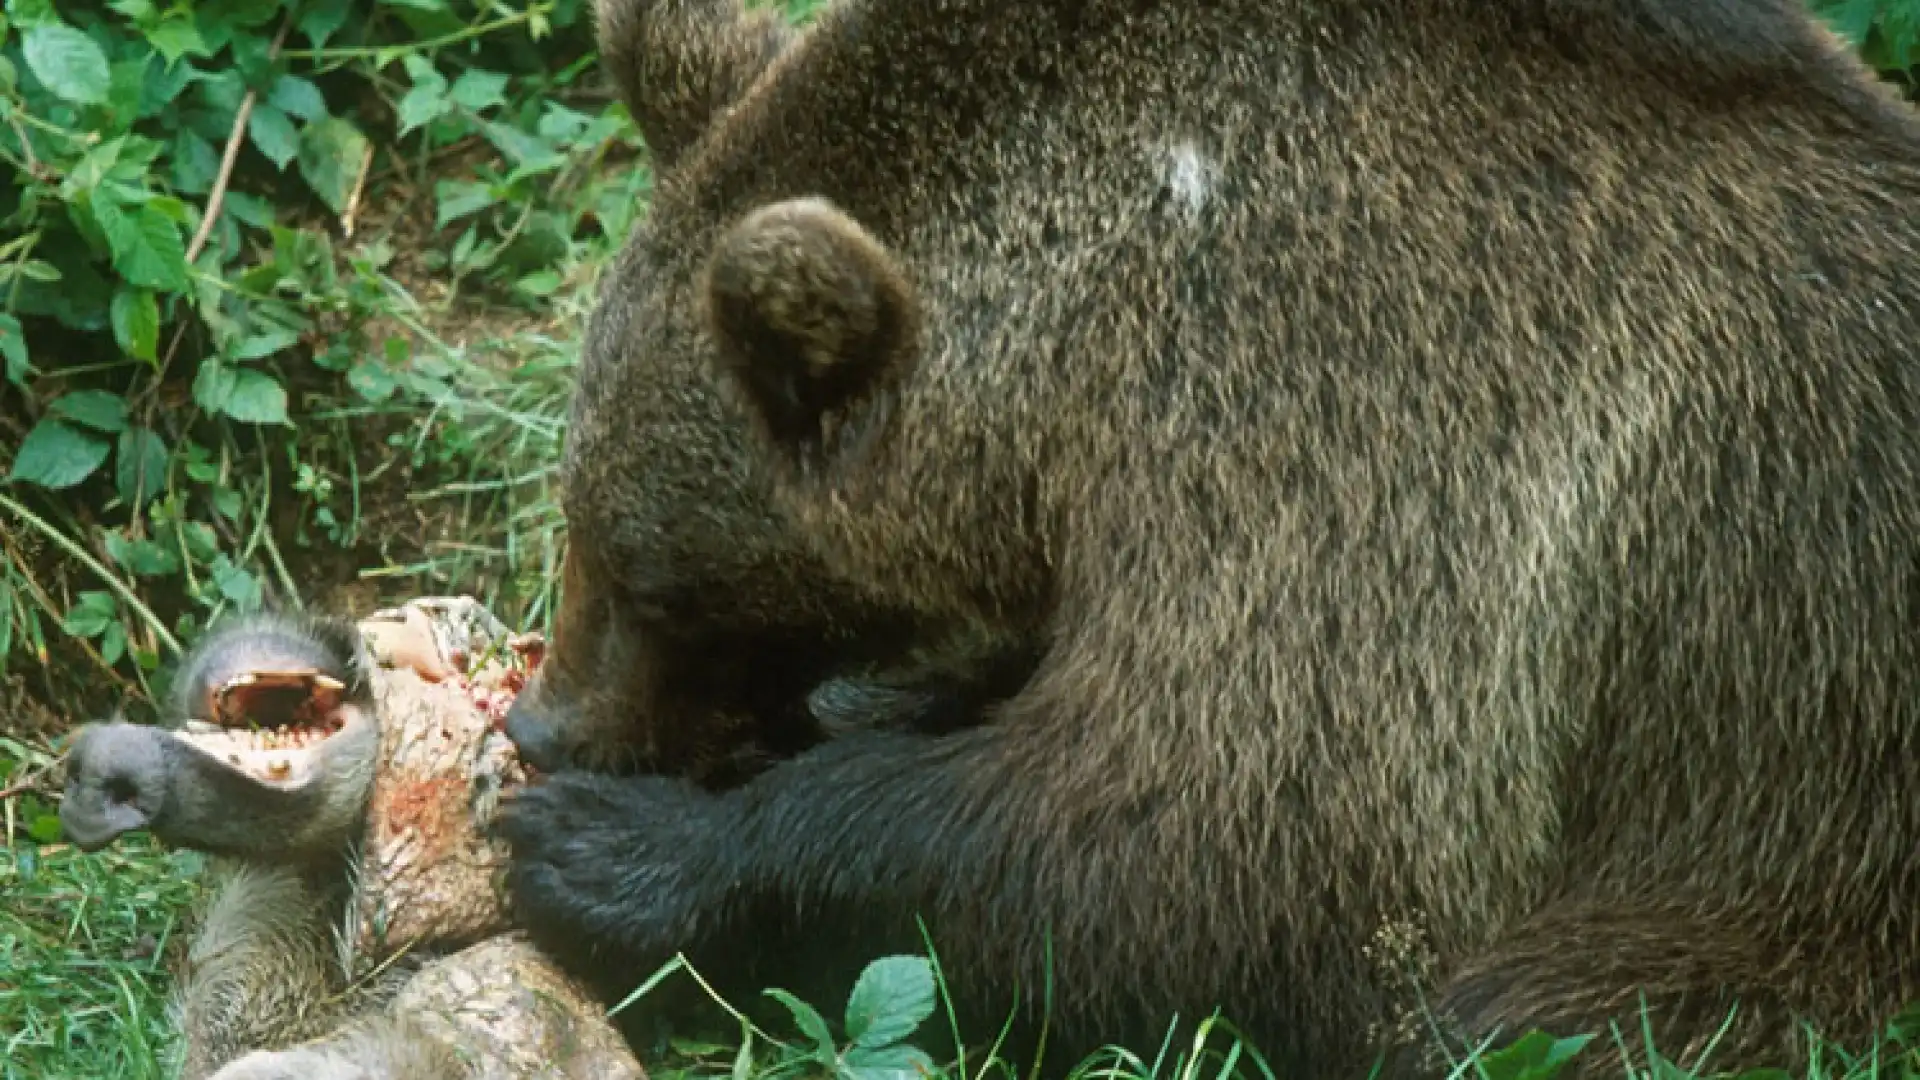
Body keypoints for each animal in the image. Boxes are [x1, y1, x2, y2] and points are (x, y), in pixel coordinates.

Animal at [503, 2, 1920, 1076]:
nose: (540, 725)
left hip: (1791, 848)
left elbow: (1214, 831)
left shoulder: (1372, 435)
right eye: (579, 522)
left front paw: (611, 849)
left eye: (647, 577)